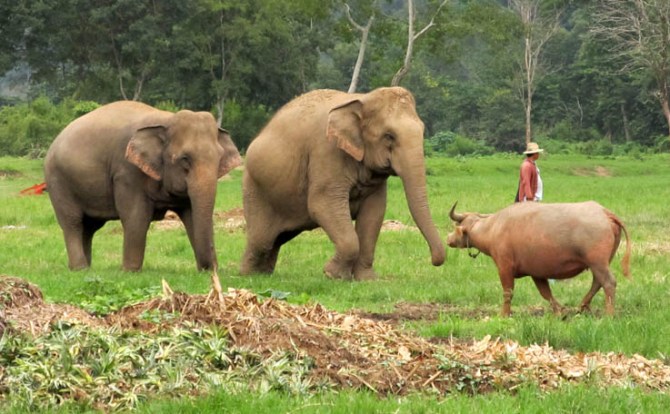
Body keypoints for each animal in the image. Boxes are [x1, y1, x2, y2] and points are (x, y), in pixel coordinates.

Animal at [44, 101, 242, 271]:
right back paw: (79, 268)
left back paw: (85, 268)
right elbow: (135, 216)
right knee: (73, 223)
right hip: (58, 181)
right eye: (185, 159)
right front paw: (130, 271)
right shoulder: (127, 171)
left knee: (90, 227)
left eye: (219, 158)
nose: (211, 268)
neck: (166, 119)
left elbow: (192, 216)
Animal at [241, 86, 445, 280]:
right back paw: (250, 275)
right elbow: (322, 204)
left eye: (422, 130)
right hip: (255, 187)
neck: (362, 99)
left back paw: (264, 273)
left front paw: (367, 279)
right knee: (262, 239)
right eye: (389, 136)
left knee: (277, 239)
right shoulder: (326, 151)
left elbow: (374, 213)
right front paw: (333, 275)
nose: (434, 261)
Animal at [447, 201, 631, 316]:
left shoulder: (504, 267)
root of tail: (604, 212)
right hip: (600, 263)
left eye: (457, 226)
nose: (448, 239)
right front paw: (560, 312)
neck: (493, 228)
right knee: (597, 282)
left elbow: (508, 292)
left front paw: (503, 314)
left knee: (608, 282)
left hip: (598, 262)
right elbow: (545, 293)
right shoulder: (537, 273)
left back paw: (609, 314)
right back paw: (582, 306)